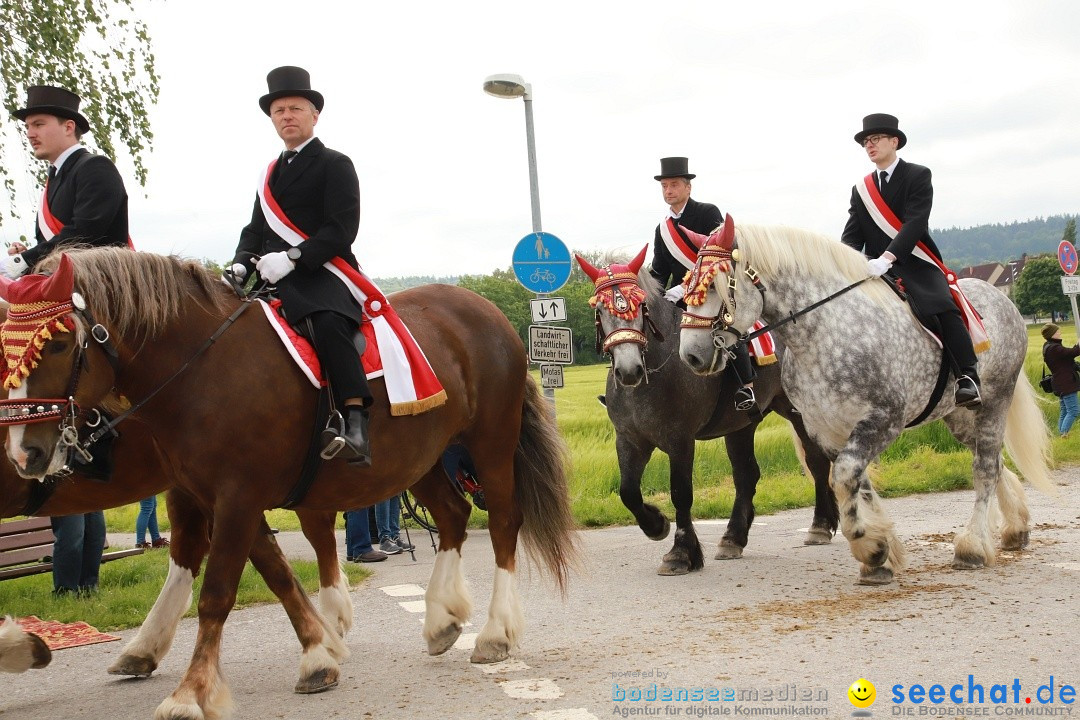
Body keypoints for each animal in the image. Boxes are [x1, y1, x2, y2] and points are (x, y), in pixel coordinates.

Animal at [0, 249, 578, 720]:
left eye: (56, 344)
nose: (25, 452)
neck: (201, 367)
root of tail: (483, 308)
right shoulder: (213, 496)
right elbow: (268, 572)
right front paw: (319, 652)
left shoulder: (237, 497)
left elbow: (218, 594)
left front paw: (191, 693)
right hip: (424, 458)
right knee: (454, 516)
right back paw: (439, 620)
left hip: (489, 441)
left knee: (502, 523)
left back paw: (496, 633)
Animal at [574, 248, 833, 574]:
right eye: (601, 311)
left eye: (640, 307)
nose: (629, 370)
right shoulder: (629, 440)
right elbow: (628, 491)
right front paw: (656, 525)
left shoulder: (680, 440)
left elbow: (681, 493)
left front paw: (681, 552)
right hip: (741, 425)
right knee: (746, 475)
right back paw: (733, 538)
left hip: (797, 411)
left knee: (816, 462)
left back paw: (820, 525)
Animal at [678, 218, 1049, 587]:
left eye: (714, 285)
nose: (691, 355)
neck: (824, 332)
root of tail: (999, 297)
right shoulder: (828, 429)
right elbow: (858, 483)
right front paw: (883, 551)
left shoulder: (883, 419)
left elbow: (845, 476)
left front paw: (869, 548)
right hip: (956, 415)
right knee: (994, 459)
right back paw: (1015, 528)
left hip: (995, 399)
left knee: (984, 466)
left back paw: (972, 547)